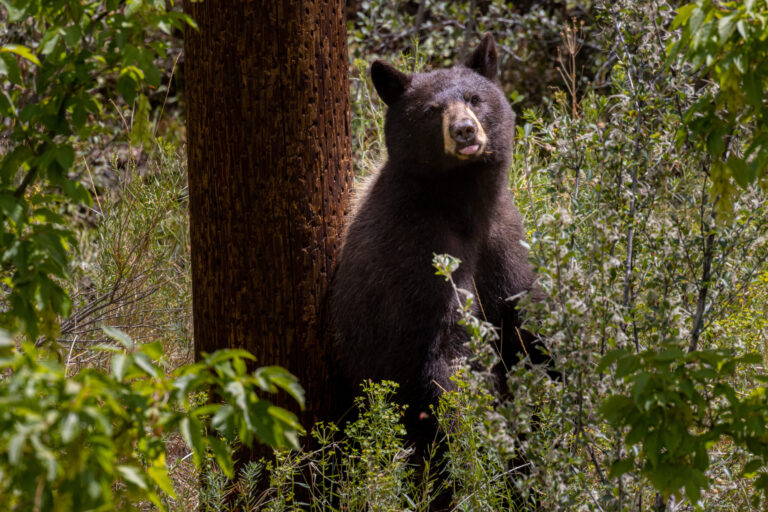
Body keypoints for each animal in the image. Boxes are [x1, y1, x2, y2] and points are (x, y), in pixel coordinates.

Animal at [329, 34, 551, 454]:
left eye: (474, 98)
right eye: (432, 110)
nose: (464, 130)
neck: (462, 203)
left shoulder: (503, 237)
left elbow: (525, 318)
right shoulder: (416, 250)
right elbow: (438, 353)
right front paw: (472, 441)